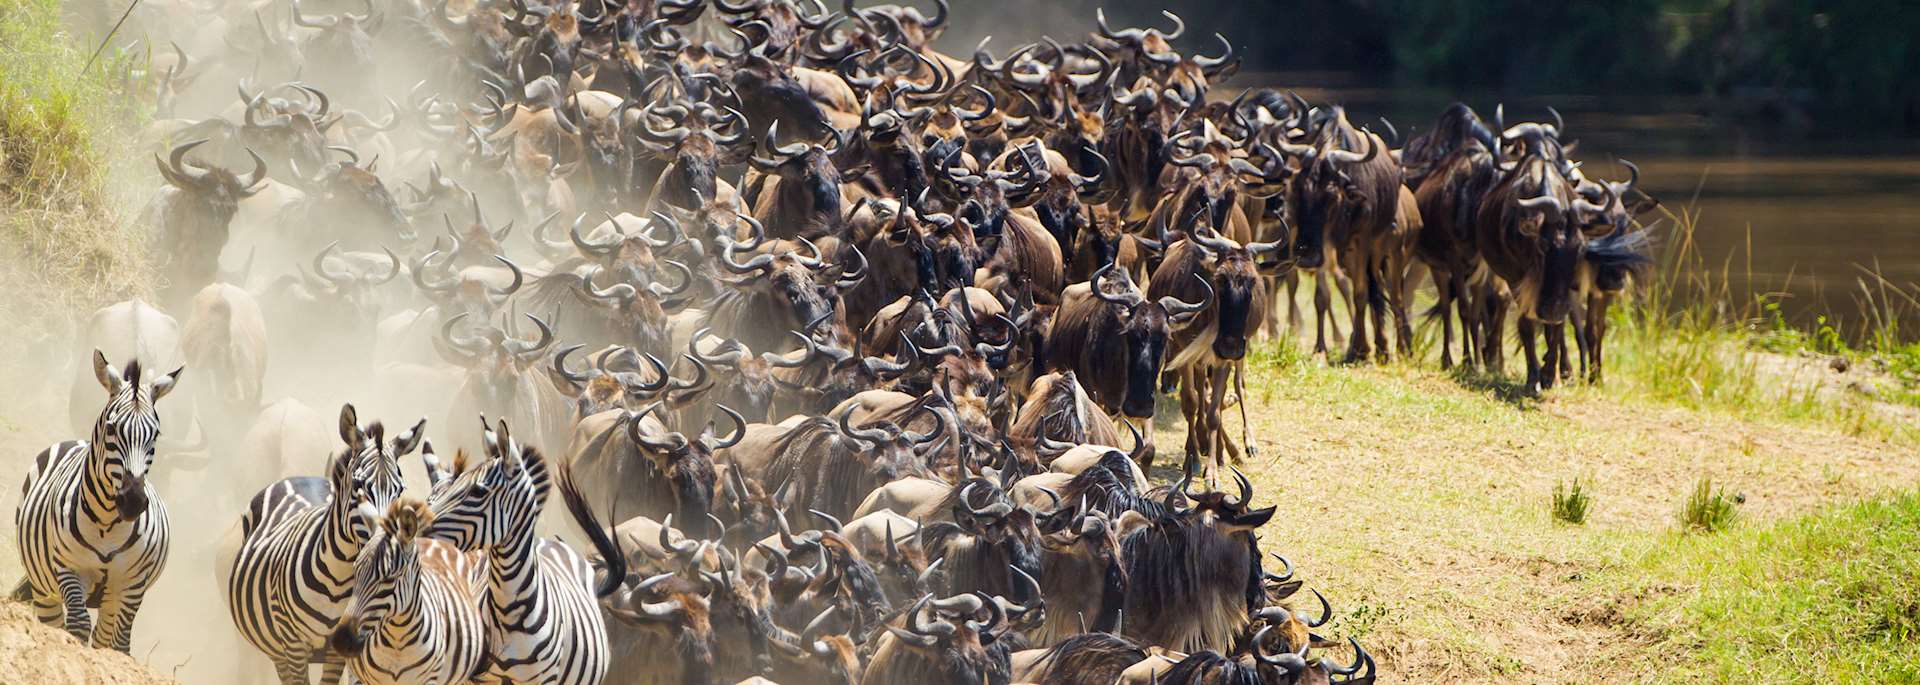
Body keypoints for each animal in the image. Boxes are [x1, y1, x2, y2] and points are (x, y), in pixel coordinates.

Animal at [14, 351, 182, 651]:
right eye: (113, 428)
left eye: (155, 434)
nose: (133, 501)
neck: (107, 523)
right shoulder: (69, 568)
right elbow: (78, 626)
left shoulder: (132, 583)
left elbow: (119, 645)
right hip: (44, 588)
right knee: (53, 622)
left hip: (111, 597)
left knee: (104, 635)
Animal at [220, 403, 425, 684]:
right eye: (359, 486)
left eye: (400, 490)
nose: (391, 539)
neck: (338, 583)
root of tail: (297, 476)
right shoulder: (294, 645)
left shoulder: (339, 647)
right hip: (276, 648)